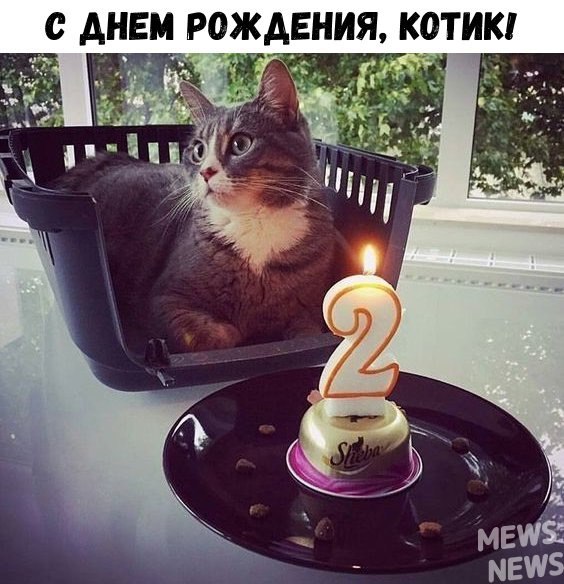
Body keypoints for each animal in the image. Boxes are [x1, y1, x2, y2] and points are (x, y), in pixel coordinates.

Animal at [53, 59, 336, 353]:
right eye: (198, 150)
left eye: (241, 143)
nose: (205, 172)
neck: (253, 220)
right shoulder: (165, 300)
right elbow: (214, 335)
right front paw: (239, 330)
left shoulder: (310, 312)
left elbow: (306, 334)